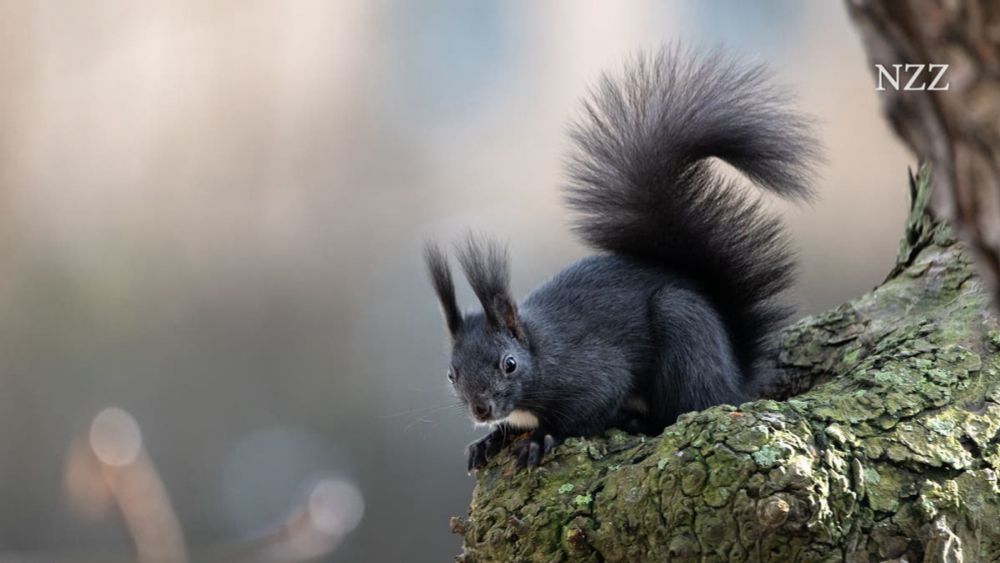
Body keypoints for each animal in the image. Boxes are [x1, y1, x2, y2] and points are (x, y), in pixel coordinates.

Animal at [422, 47, 820, 472]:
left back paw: (638, 419)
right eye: (451, 373)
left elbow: (588, 408)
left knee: (686, 407)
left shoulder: (593, 372)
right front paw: (489, 440)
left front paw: (541, 437)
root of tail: (735, 378)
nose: (481, 409)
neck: (541, 351)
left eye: (509, 364)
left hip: (684, 333)